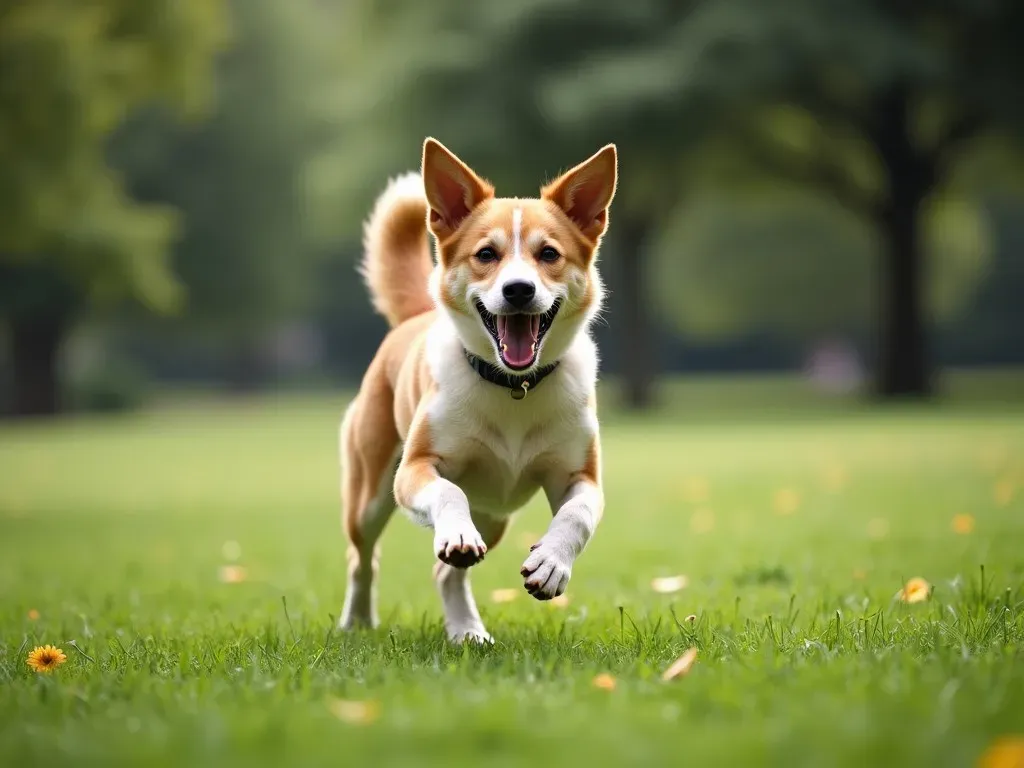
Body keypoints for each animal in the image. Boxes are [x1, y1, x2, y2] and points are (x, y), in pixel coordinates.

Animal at [342, 137, 614, 643]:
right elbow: (449, 493)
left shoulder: (580, 475)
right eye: (486, 254)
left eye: (549, 254)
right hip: (370, 493)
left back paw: (467, 631)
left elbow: (577, 515)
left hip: (496, 513)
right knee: (363, 559)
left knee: (446, 572)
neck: (514, 386)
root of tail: (414, 316)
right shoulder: (416, 469)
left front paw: (551, 564)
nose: (519, 289)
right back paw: (358, 621)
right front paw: (456, 533)